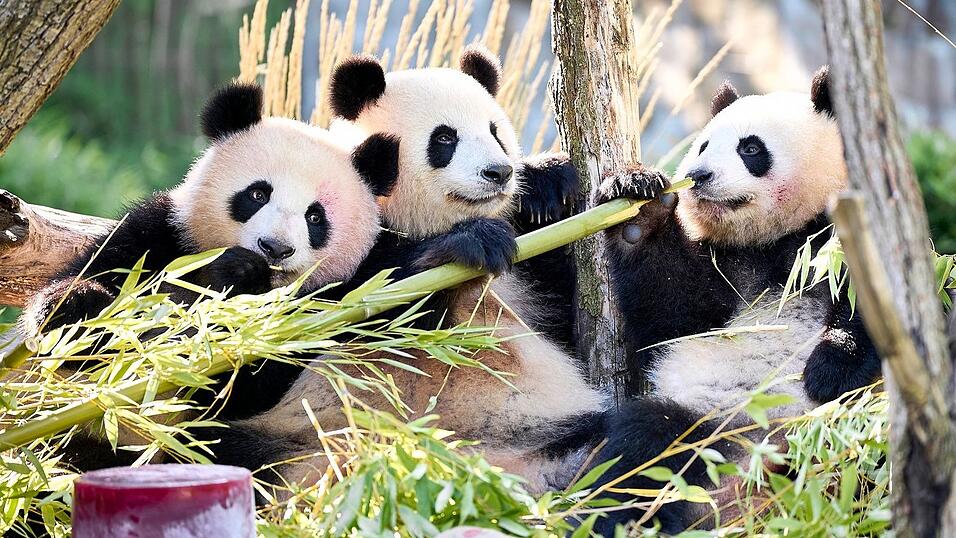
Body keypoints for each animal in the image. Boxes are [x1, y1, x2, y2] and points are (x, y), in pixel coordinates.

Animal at [19, 82, 400, 469]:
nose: (274, 248)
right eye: (258, 193)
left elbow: (243, 382)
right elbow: (94, 292)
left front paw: (239, 282)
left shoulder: (332, 306)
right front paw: (73, 306)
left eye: (315, 217)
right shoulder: (162, 236)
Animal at [199, 47, 607, 496]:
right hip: (296, 444)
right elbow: (385, 312)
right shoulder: (351, 254)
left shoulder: (529, 276)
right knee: (226, 447)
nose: (499, 172)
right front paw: (471, 242)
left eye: (495, 131)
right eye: (444, 138)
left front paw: (550, 186)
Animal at [576, 67, 884, 534]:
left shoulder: (841, 235)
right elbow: (675, 312)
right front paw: (640, 207)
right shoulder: (727, 269)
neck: (775, 240)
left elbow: (874, 311)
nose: (699, 175)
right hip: (706, 421)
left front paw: (829, 368)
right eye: (703, 144)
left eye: (750, 148)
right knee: (645, 449)